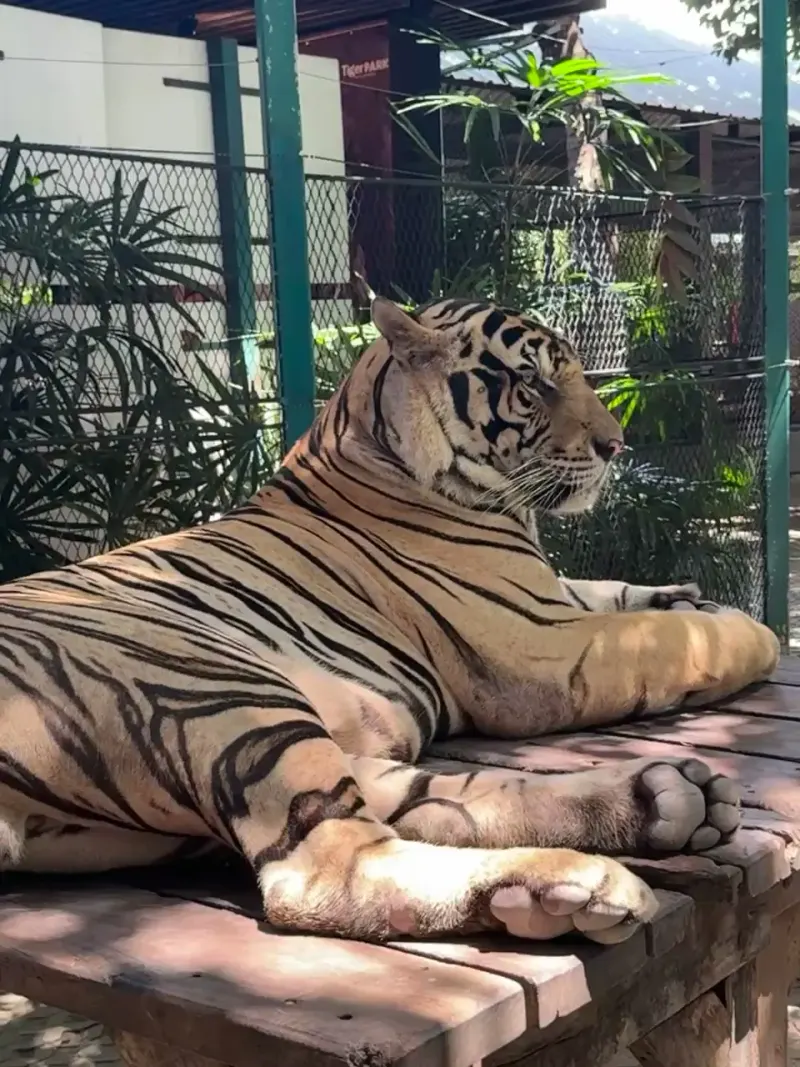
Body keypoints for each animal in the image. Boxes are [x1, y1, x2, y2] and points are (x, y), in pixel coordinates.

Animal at [0, 296, 779, 946]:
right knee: (329, 870)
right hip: (217, 688)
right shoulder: (540, 645)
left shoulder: (551, 595)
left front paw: (685, 595)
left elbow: (623, 592)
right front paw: (743, 628)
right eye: (533, 385)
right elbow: (692, 639)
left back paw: (664, 798)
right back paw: (566, 886)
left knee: (430, 799)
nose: (616, 446)